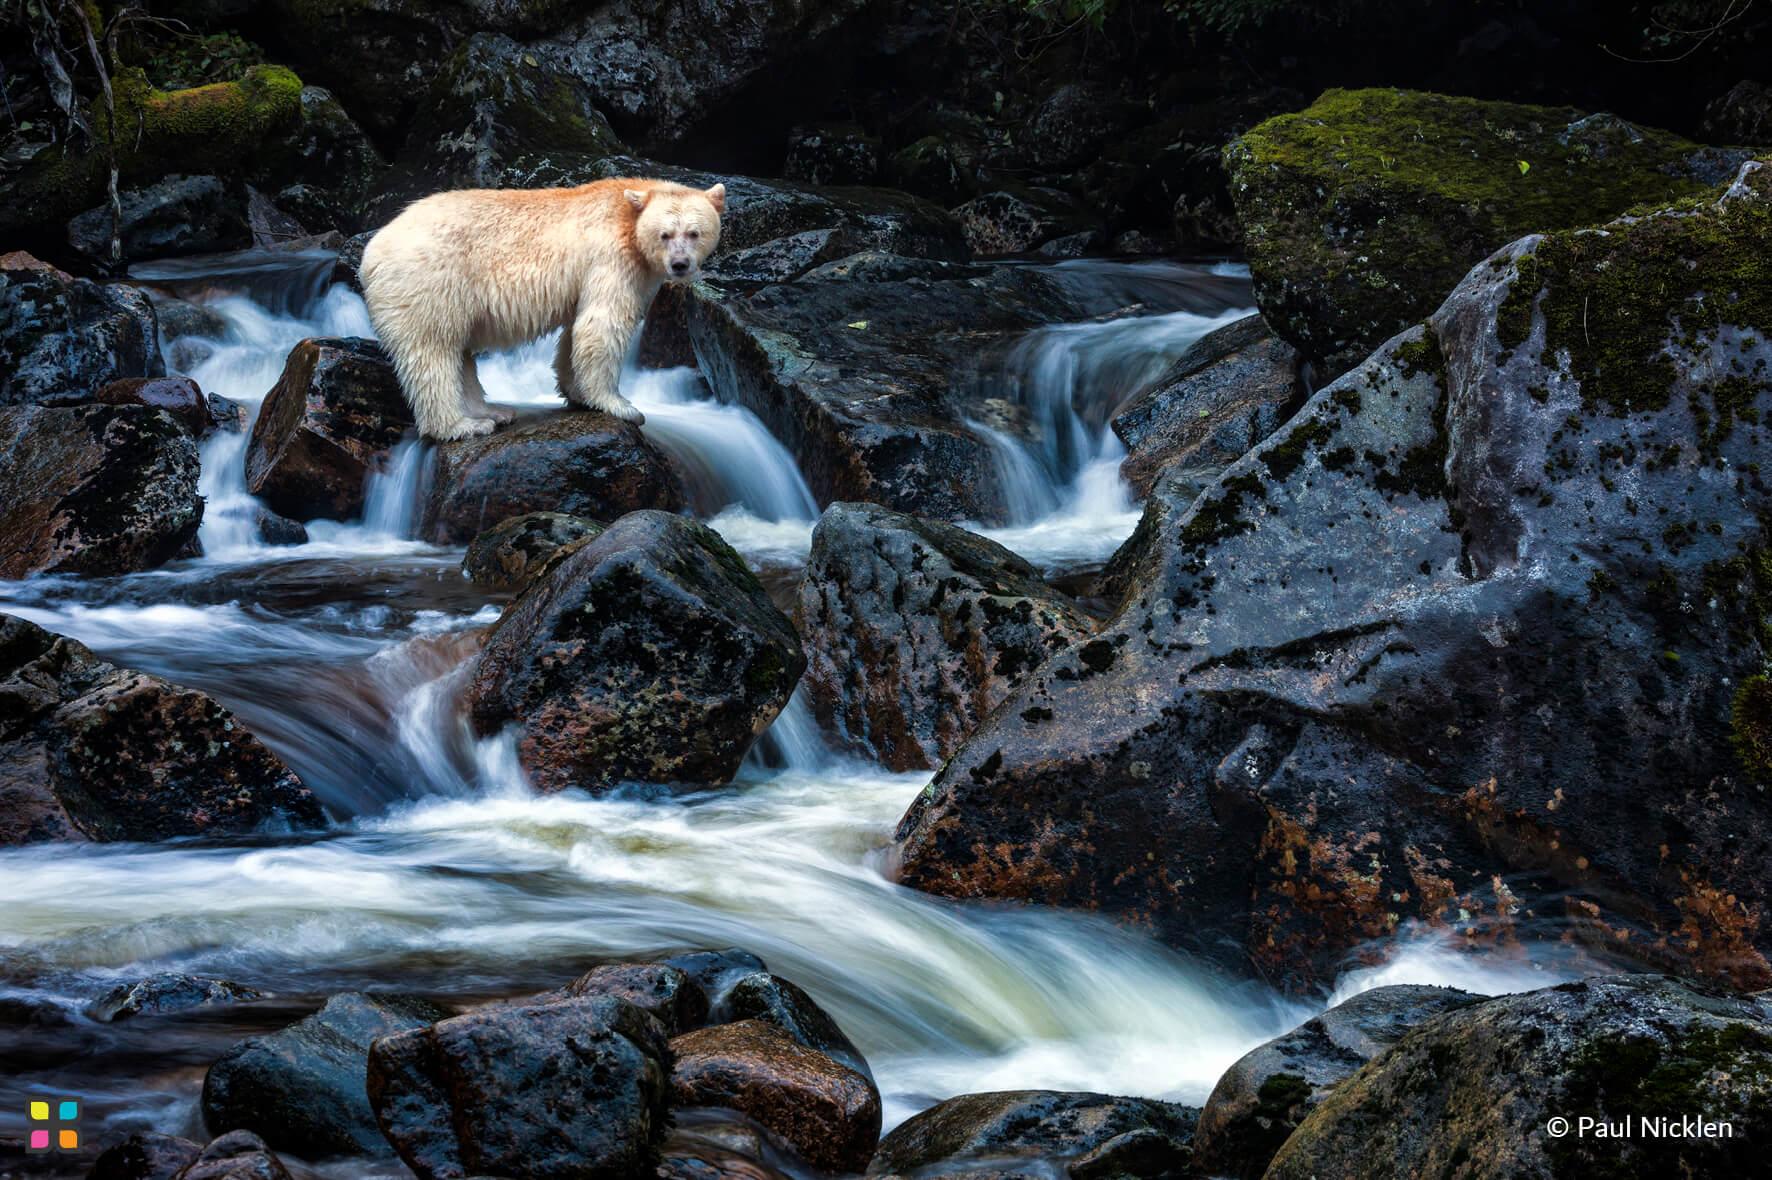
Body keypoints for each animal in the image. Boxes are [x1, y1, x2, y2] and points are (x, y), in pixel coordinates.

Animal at [359, 178, 725, 441]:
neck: (627, 216)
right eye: (665, 234)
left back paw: (490, 411)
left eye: (695, 233)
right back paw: (461, 425)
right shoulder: (612, 258)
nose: (679, 264)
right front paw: (621, 406)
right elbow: (602, 325)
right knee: (433, 350)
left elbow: (576, 330)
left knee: (459, 352)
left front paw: (577, 393)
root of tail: (372, 253)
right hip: (430, 281)